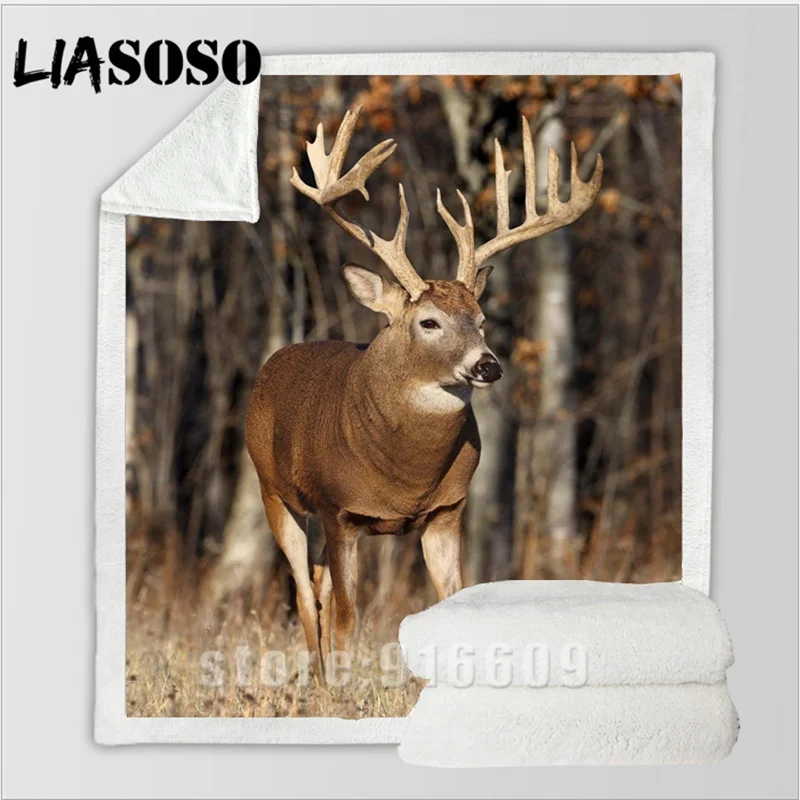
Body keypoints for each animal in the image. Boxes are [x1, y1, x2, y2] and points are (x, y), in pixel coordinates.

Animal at [244, 106, 602, 668]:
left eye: (481, 320)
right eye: (428, 322)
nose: (488, 365)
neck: (405, 475)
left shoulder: (447, 511)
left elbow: (451, 600)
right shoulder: (339, 510)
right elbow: (347, 618)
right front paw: (343, 687)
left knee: (318, 586)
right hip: (272, 489)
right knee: (304, 593)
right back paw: (317, 677)